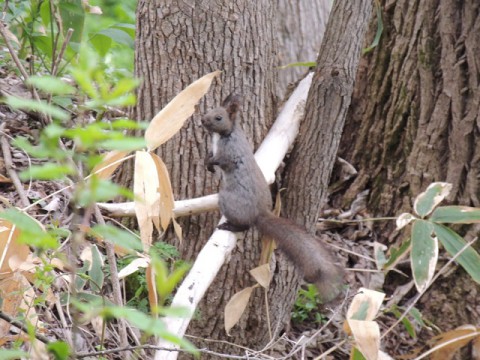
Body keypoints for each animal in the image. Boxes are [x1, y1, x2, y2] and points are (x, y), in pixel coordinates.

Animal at [201, 92, 344, 300]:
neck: (223, 136)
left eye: (219, 117)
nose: (202, 120)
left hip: (228, 200)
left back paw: (231, 225)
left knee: (246, 225)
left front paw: (211, 163)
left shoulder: (231, 153)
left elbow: (223, 161)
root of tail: (260, 213)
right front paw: (208, 162)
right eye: (209, 110)